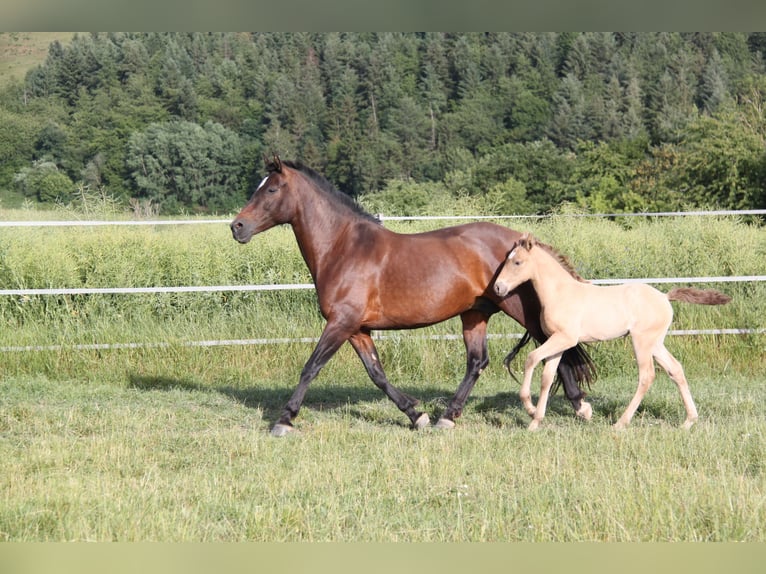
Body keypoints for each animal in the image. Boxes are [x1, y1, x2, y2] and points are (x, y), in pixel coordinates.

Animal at [231, 157, 596, 436]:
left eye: (271, 188)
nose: (237, 227)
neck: (343, 248)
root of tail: (522, 243)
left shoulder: (340, 323)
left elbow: (311, 368)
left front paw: (283, 420)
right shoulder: (356, 329)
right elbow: (377, 373)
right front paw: (416, 415)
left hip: (518, 307)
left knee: (553, 345)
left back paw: (580, 406)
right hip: (474, 314)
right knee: (477, 362)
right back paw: (447, 417)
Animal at [493, 232, 731, 431]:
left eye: (517, 262)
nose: (498, 287)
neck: (561, 293)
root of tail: (665, 297)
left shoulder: (565, 338)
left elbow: (531, 359)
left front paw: (529, 408)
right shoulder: (557, 341)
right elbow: (547, 378)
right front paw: (535, 422)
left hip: (642, 341)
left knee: (647, 376)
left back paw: (621, 423)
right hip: (655, 343)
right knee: (676, 369)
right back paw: (689, 421)